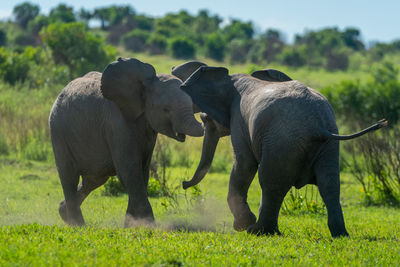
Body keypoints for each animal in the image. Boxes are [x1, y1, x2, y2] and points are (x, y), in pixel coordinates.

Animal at [50, 57, 205, 227]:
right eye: (166, 109)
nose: (204, 120)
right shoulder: (116, 124)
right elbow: (130, 170)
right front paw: (147, 226)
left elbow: (142, 172)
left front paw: (132, 225)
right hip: (58, 130)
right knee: (69, 175)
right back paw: (77, 224)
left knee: (94, 179)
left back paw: (63, 212)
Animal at [175, 61, 388, 238]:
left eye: (205, 119)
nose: (184, 183)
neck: (232, 79)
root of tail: (317, 125)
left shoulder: (239, 119)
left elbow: (244, 165)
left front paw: (242, 226)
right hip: (328, 145)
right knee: (330, 183)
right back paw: (340, 234)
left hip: (282, 141)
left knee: (270, 182)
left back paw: (258, 231)